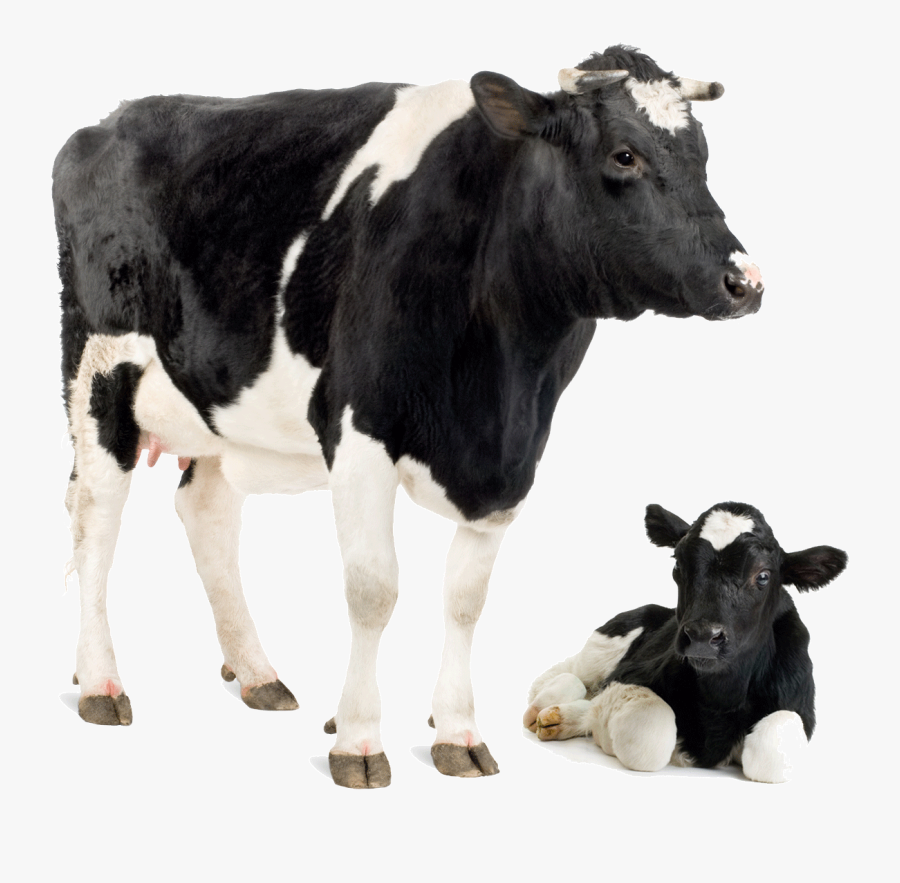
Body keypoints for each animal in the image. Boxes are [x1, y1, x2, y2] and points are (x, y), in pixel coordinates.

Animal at [53, 45, 764, 789]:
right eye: (624, 155)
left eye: (702, 154)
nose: (744, 282)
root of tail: (112, 119)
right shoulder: (359, 430)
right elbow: (374, 590)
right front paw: (359, 739)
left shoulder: (512, 460)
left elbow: (465, 599)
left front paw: (457, 731)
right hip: (97, 371)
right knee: (95, 518)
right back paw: (101, 682)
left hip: (219, 405)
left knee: (206, 513)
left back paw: (256, 674)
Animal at [524, 503, 847, 783]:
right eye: (679, 564)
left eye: (764, 576)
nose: (702, 636)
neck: (721, 697)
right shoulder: (628, 675)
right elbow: (650, 735)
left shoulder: (800, 706)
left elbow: (771, 752)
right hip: (605, 643)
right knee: (567, 675)